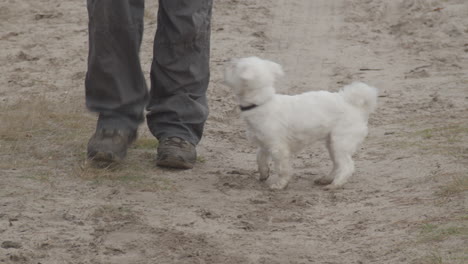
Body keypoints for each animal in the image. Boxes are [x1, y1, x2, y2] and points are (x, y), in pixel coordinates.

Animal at [222, 57, 376, 190]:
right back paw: (326, 179)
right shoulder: (265, 144)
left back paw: (335, 184)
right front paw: (264, 173)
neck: (261, 103)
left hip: (340, 142)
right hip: (332, 143)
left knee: (347, 166)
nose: (228, 61)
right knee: (338, 164)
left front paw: (280, 184)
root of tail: (354, 105)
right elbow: (259, 158)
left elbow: (282, 169)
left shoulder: (279, 148)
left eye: (234, 67)